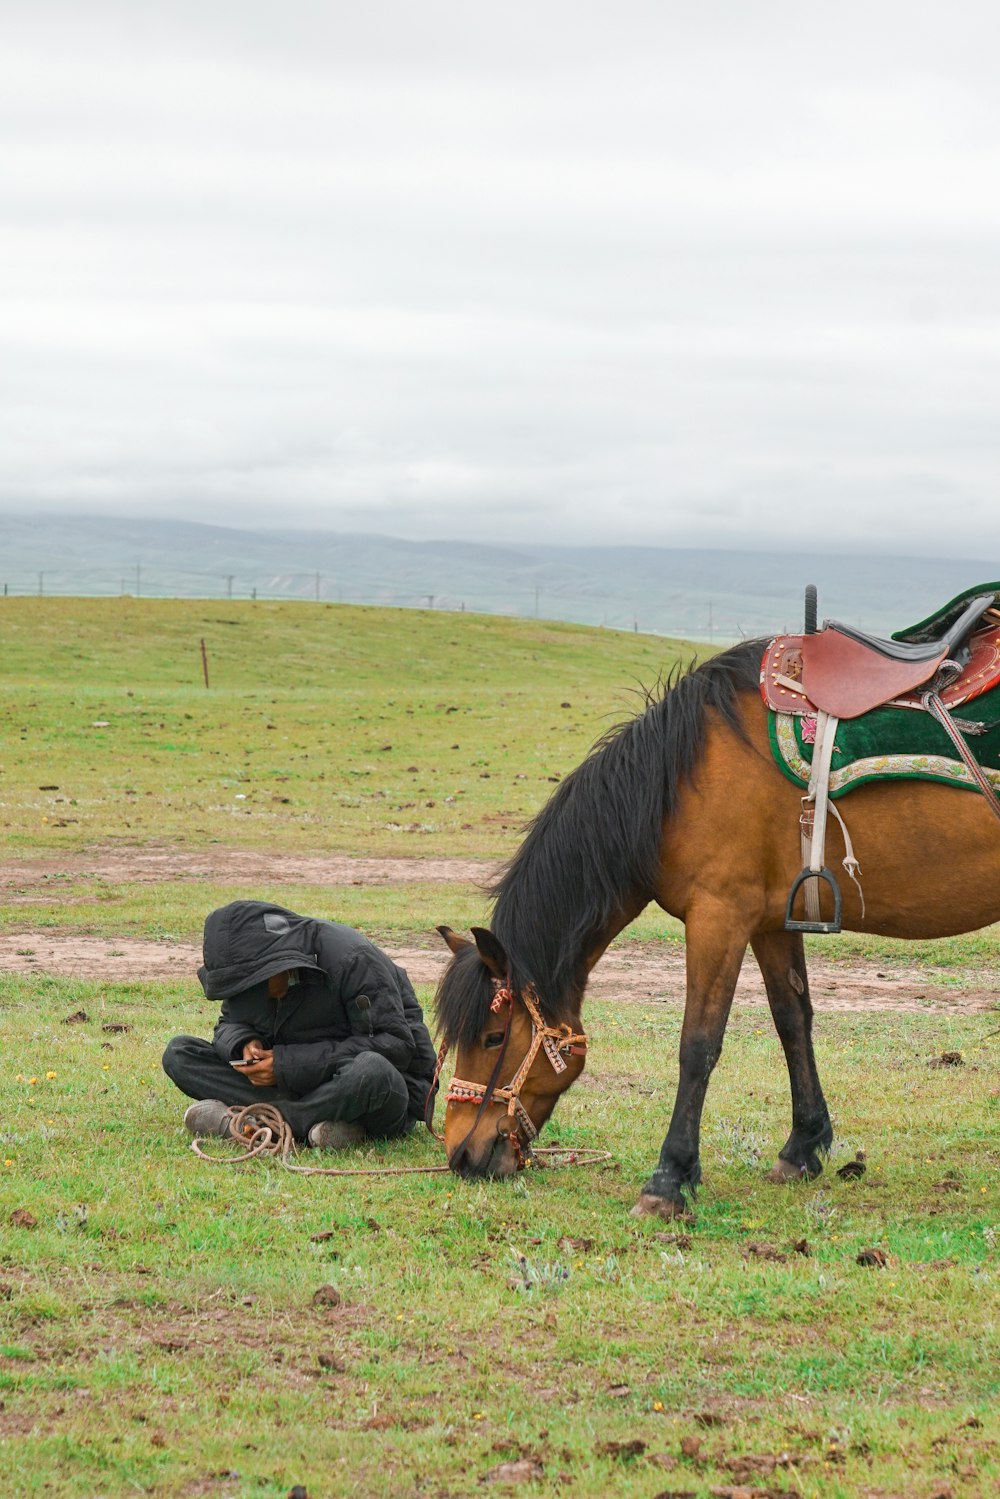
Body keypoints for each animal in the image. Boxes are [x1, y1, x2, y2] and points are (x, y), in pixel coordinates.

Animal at [434, 641, 1000, 1217]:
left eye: (493, 1037)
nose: (459, 1154)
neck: (677, 781)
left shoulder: (718, 915)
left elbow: (697, 1045)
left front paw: (668, 1180)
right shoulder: (771, 921)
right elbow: (792, 1021)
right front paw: (802, 1148)